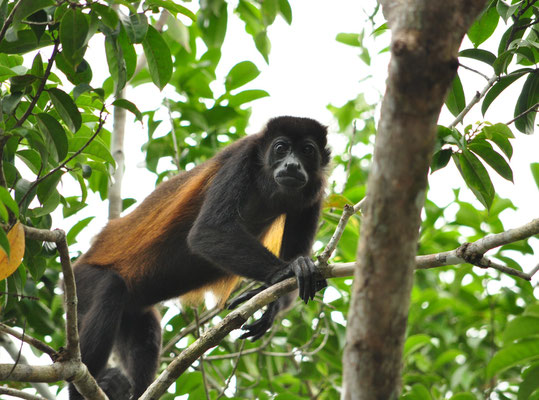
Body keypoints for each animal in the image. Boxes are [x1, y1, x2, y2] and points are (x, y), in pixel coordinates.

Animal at [69, 116, 332, 400]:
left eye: (307, 150)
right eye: (281, 148)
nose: (292, 164)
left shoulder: (315, 190)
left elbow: (297, 262)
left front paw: (270, 302)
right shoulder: (240, 160)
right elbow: (207, 231)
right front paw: (286, 272)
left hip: (133, 314)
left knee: (147, 336)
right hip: (80, 281)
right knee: (109, 287)